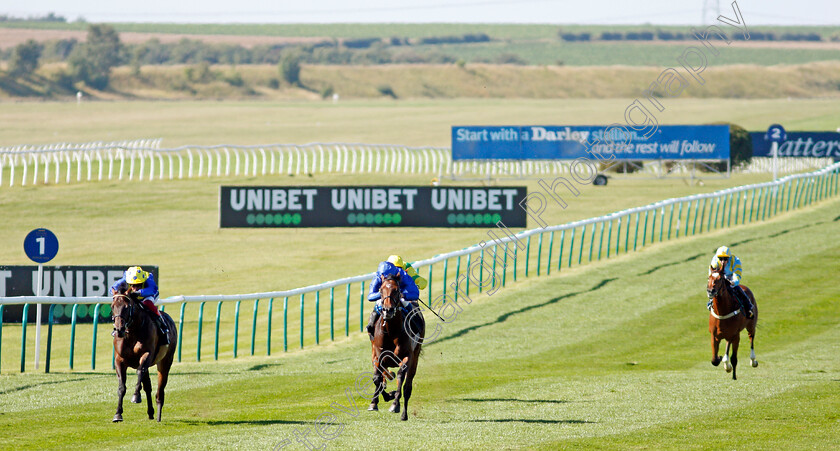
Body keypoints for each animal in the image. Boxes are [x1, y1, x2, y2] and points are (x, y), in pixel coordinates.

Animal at [111, 294, 177, 424]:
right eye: (112, 306)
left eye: (127, 307)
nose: (119, 329)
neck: (132, 332)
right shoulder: (119, 360)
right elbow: (122, 387)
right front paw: (118, 414)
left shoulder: (146, 355)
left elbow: (139, 372)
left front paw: (136, 395)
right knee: (148, 386)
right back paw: (150, 412)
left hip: (165, 361)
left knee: (159, 390)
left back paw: (158, 415)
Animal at [370, 278, 426, 422]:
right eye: (380, 290)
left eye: (397, 290)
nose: (387, 310)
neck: (391, 332)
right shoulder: (378, 357)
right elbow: (377, 379)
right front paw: (377, 401)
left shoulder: (407, 356)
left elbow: (401, 377)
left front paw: (395, 403)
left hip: (415, 356)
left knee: (407, 386)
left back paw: (403, 413)